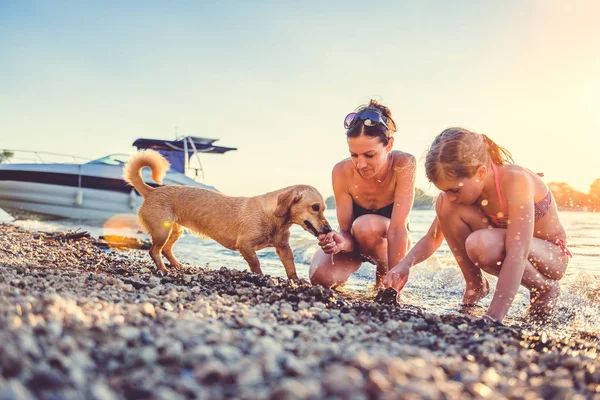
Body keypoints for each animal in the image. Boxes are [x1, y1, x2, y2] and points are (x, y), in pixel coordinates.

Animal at [123, 149, 332, 278]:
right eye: (315, 207)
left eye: (323, 209)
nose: (329, 229)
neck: (274, 217)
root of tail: (151, 190)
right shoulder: (245, 245)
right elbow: (256, 263)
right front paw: (260, 277)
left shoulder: (284, 248)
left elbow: (291, 267)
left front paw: (296, 281)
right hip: (161, 231)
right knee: (154, 251)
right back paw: (163, 269)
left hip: (175, 231)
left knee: (166, 250)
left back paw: (177, 265)